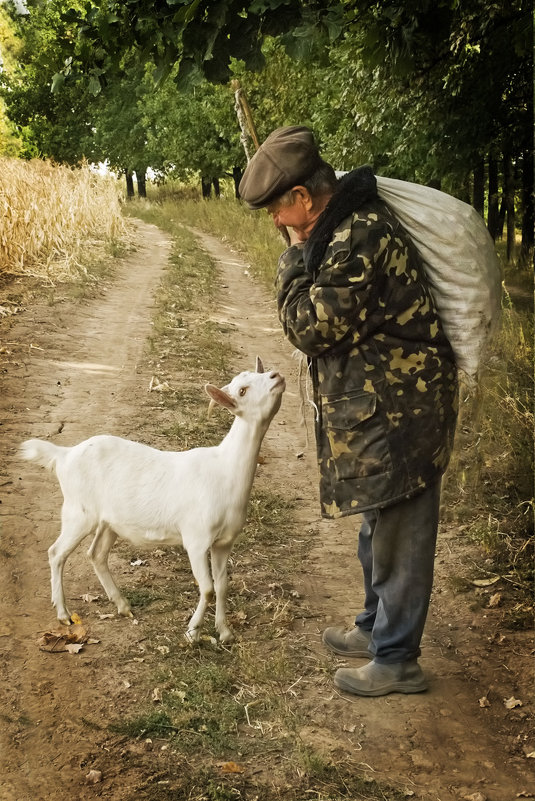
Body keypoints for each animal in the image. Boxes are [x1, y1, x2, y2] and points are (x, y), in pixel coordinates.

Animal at [19, 358, 284, 644]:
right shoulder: (196, 539)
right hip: (79, 512)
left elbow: (222, 586)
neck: (225, 470)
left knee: (96, 554)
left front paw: (224, 632)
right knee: (56, 553)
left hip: (109, 521)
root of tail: (64, 455)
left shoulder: (224, 542)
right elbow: (207, 588)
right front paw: (192, 633)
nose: (276, 375)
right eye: (243, 391)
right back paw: (64, 614)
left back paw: (122, 605)